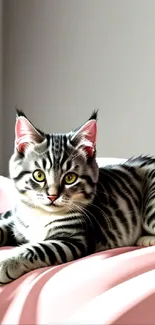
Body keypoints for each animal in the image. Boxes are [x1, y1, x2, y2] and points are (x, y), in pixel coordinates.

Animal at [0, 110, 154, 284]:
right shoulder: (15, 223)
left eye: (70, 178)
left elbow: (38, 248)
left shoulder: (74, 240)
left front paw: (6, 262)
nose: (52, 196)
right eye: (39, 175)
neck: (39, 214)